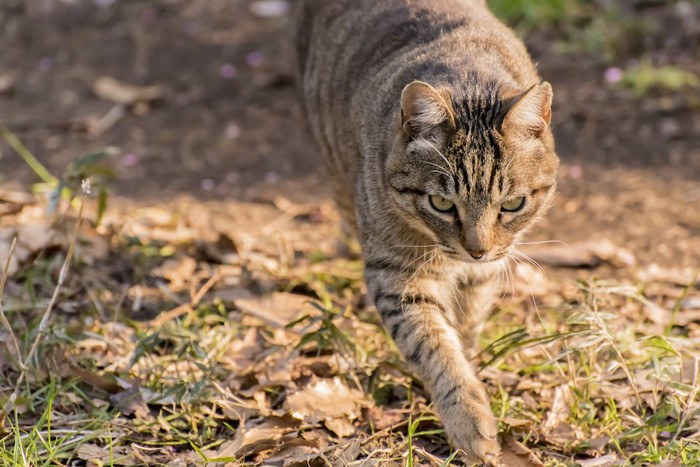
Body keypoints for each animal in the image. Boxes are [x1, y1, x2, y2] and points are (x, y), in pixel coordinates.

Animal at [292, 0, 560, 464]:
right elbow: (436, 348)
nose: (476, 249)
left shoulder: (484, 272)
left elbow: (465, 328)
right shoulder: (397, 276)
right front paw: (469, 420)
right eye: (441, 204)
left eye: (511, 205)